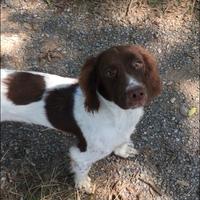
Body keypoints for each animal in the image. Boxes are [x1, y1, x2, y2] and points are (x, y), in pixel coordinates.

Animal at [0, 45, 162, 192]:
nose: (136, 93)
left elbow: (120, 143)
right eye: (109, 72)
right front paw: (82, 184)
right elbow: (82, 168)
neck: (115, 112)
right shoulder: (83, 153)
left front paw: (123, 151)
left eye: (138, 63)